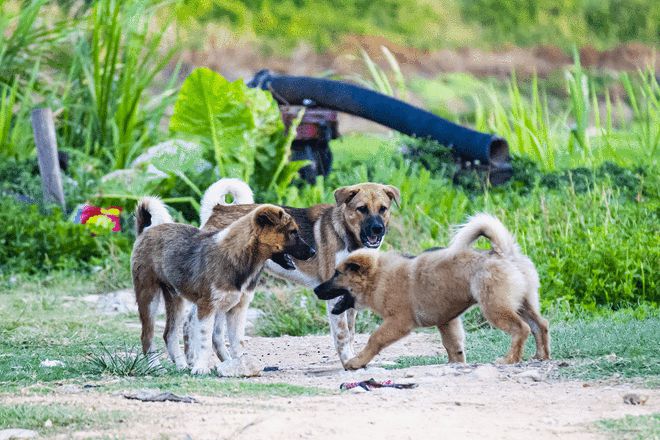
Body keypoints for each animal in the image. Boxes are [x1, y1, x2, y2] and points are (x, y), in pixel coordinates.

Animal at [131, 198, 314, 372]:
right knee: (147, 336)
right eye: (293, 232)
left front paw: (240, 365)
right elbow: (204, 341)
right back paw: (155, 367)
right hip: (149, 297)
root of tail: (144, 232)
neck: (242, 259)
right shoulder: (206, 306)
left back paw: (181, 366)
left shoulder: (238, 308)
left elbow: (237, 343)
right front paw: (200, 368)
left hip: (176, 299)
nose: (313, 252)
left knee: (169, 335)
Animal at [193, 177, 400, 366]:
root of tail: (217, 209)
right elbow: (342, 334)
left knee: (215, 334)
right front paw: (347, 361)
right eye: (361, 208)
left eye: (383, 208)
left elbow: (350, 333)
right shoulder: (334, 296)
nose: (377, 229)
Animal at [312, 213, 548, 368]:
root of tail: (503, 252)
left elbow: (375, 339)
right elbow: (453, 346)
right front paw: (455, 364)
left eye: (337, 274)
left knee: (522, 328)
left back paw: (510, 359)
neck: (378, 277)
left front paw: (356, 362)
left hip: (495, 306)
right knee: (540, 325)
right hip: (524, 302)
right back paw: (541, 356)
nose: (315, 290)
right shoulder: (447, 321)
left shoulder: (398, 322)